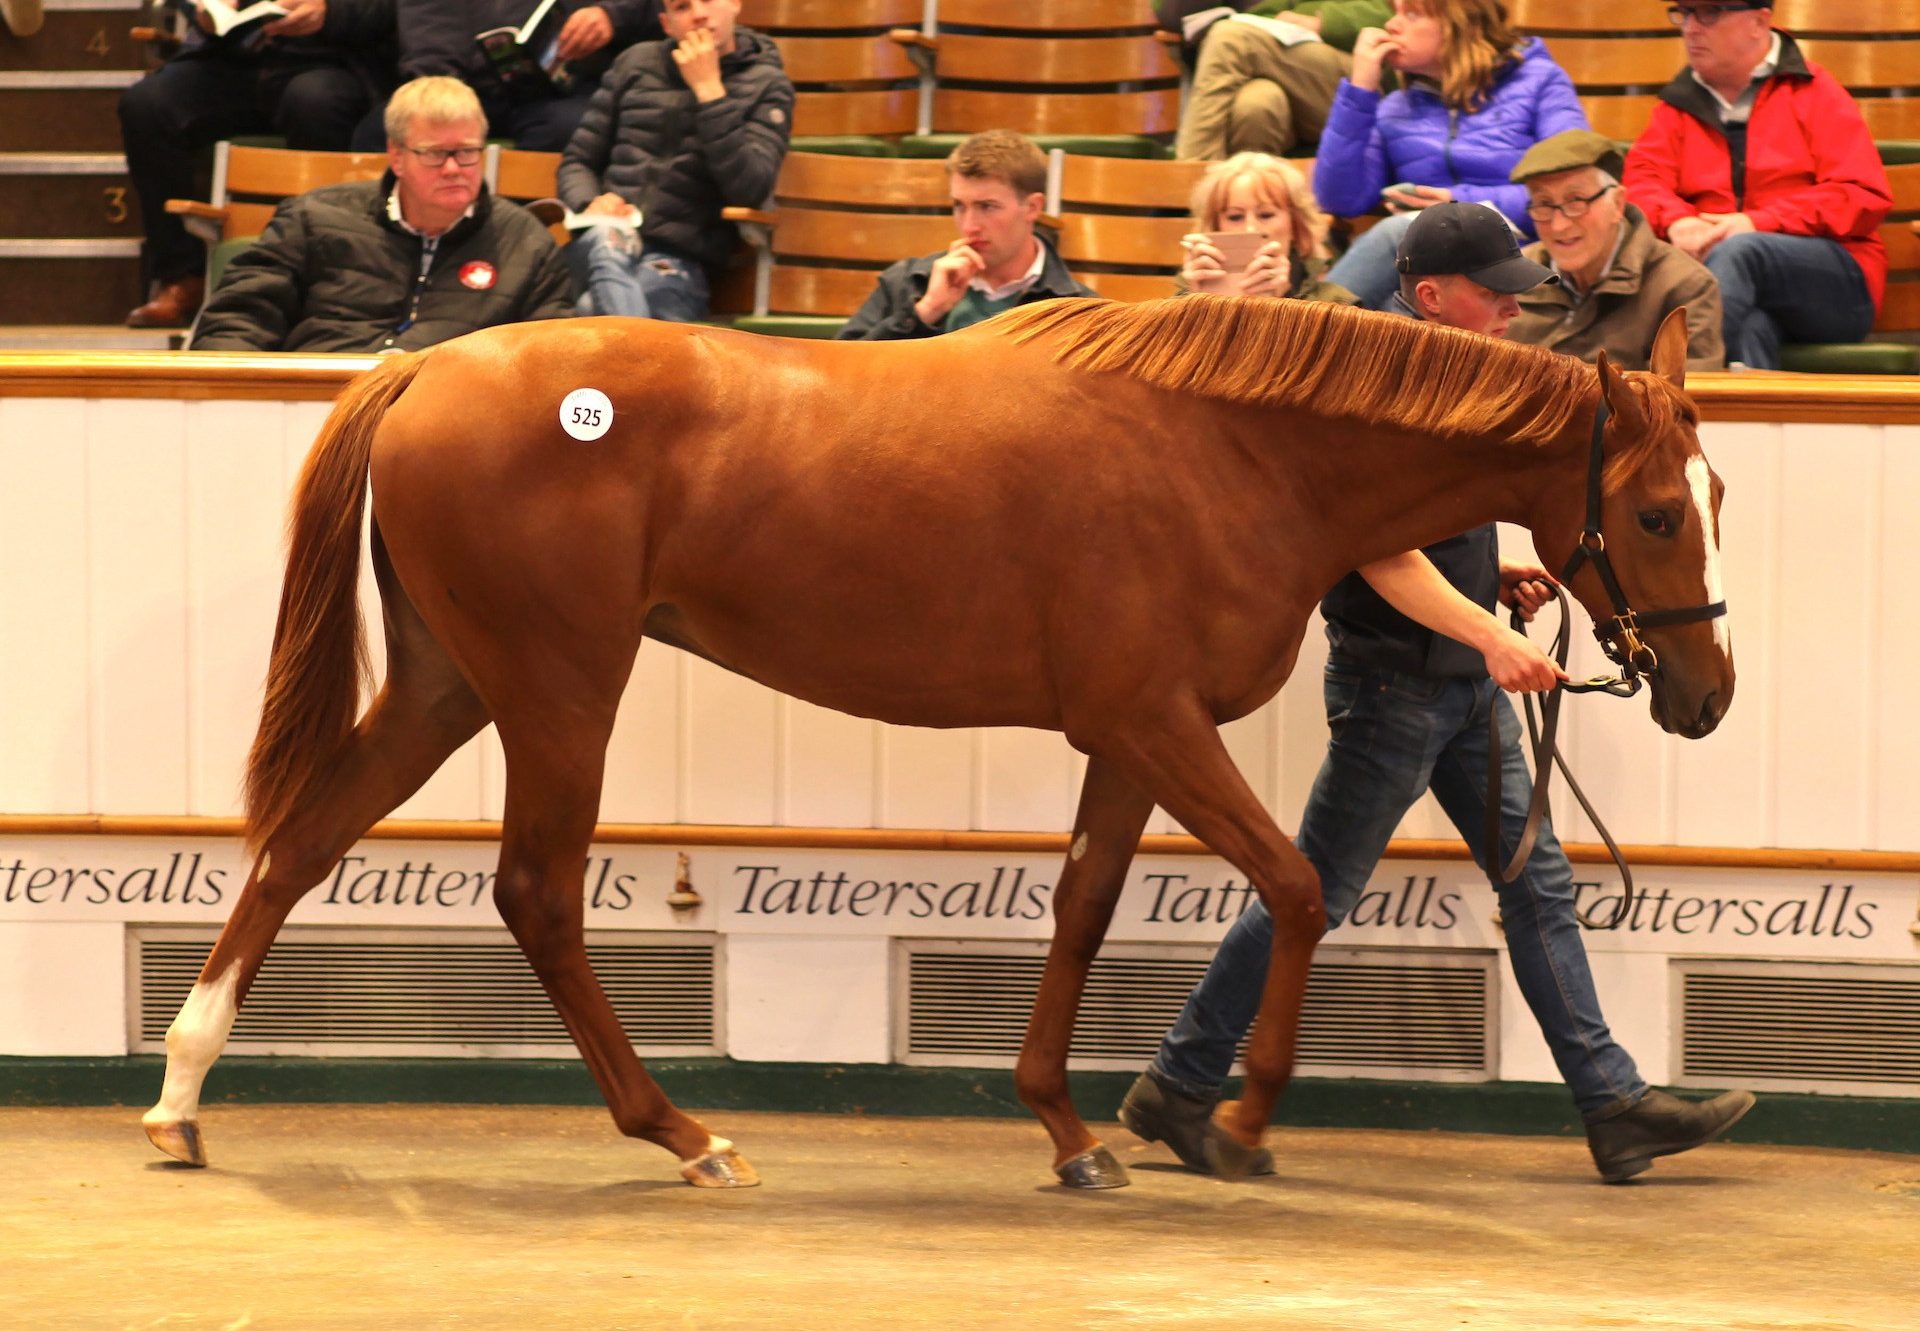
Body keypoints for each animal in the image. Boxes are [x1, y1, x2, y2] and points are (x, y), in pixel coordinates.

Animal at [142, 297, 1735, 1183]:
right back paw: (686, 1134)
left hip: (449, 683)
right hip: (557, 687)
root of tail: (426, 371)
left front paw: (1076, 1132)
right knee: (533, 892)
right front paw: (1236, 1117)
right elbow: (1293, 885)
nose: (1707, 689)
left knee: (301, 837)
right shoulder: (1156, 720)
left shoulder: (1125, 733)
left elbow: (1085, 905)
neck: (1230, 451)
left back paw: (179, 1096)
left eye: (1715, 495)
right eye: (1659, 508)